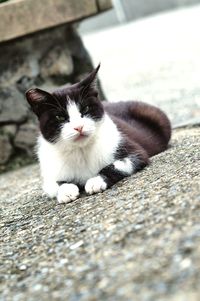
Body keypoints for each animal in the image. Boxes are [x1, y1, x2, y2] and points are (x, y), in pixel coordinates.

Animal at [25, 64, 171, 203]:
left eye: (85, 109)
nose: (79, 127)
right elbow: (56, 183)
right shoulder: (49, 174)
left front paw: (96, 181)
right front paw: (66, 191)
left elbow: (116, 165)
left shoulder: (134, 152)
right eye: (59, 117)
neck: (81, 150)